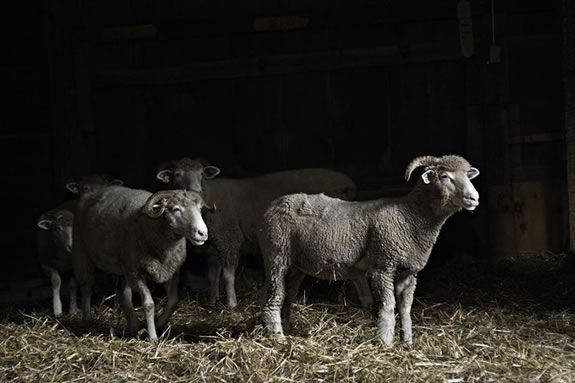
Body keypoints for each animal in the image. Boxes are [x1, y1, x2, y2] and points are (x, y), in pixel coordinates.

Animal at [72, 186, 214, 340]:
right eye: (176, 209)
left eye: (200, 209)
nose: (202, 233)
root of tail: (94, 190)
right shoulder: (137, 274)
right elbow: (149, 304)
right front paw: (153, 337)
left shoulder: (170, 271)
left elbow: (173, 301)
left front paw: (157, 324)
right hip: (82, 253)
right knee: (86, 286)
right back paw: (87, 319)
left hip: (125, 267)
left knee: (125, 297)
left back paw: (133, 328)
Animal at [155, 158, 358, 310]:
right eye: (177, 175)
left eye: (202, 174)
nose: (196, 191)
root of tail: (349, 184)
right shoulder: (213, 246)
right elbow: (213, 276)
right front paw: (213, 302)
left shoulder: (230, 238)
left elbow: (228, 275)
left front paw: (231, 304)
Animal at [260, 154, 482, 348]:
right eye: (444, 176)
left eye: (467, 176)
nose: (474, 198)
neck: (410, 216)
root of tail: (273, 205)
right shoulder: (383, 267)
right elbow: (387, 307)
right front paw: (385, 343)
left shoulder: (409, 273)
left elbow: (405, 309)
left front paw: (407, 344)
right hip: (277, 254)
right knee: (274, 295)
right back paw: (277, 336)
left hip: (297, 265)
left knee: (288, 294)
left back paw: (287, 328)